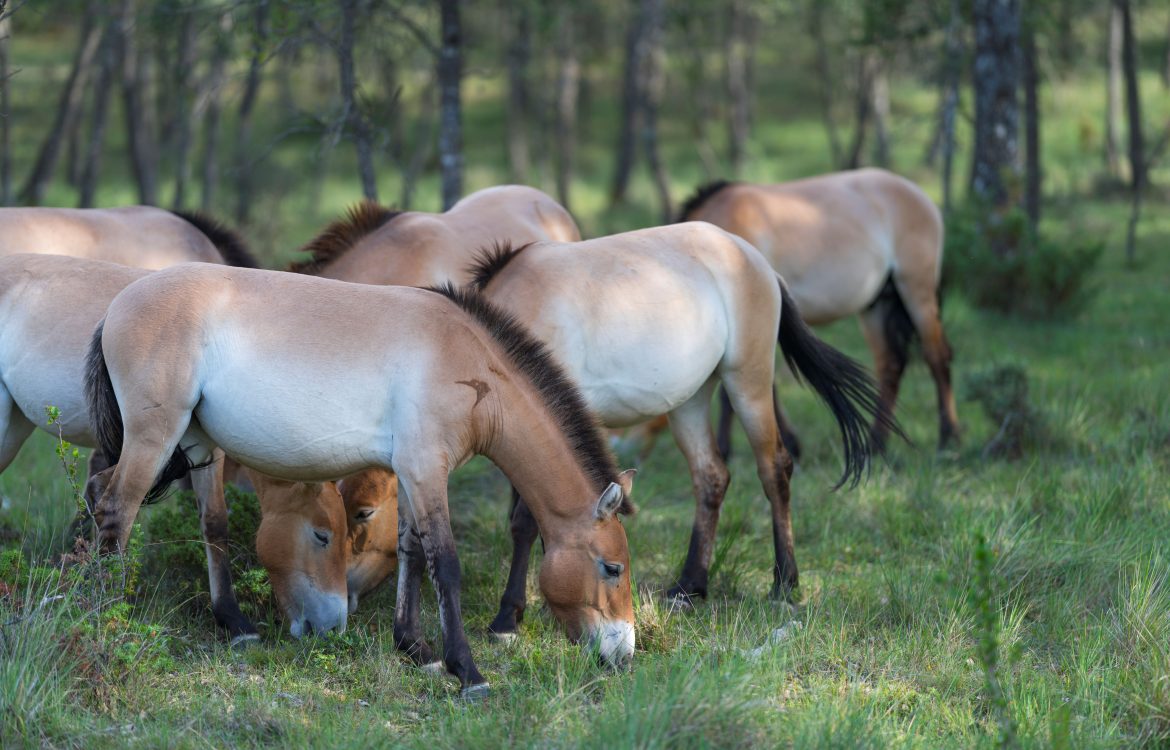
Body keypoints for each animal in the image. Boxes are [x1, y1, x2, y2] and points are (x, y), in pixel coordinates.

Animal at [87, 264, 641, 697]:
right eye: (612, 568)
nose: (624, 653)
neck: (467, 360)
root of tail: (117, 306)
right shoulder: (426, 470)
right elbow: (446, 565)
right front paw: (468, 673)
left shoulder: (413, 474)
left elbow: (412, 553)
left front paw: (415, 648)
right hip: (155, 437)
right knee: (117, 509)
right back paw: (105, 621)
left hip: (198, 446)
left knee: (175, 514)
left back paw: (233, 623)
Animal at [669, 166, 959, 453]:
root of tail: (919, 195)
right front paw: (789, 442)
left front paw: (729, 448)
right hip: (877, 304)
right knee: (891, 365)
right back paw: (877, 443)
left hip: (917, 292)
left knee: (937, 356)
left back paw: (949, 438)